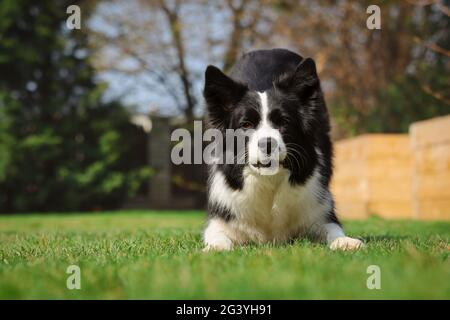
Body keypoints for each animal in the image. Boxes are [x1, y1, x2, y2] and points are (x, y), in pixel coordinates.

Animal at [202, 48, 364, 251]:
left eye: (284, 122)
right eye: (246, 124)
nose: (267, 144)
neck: (268, 182)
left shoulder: (319, 212)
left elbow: (332, 229)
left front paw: (345, 241)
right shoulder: (221, 220)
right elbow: (218, 237)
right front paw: (215, 248)